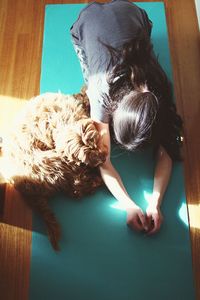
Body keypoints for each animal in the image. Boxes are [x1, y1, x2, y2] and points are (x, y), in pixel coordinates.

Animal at [0, 88, 107, 250]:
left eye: (96, 143)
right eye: (88, 156)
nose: (103, 158)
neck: (62, 121)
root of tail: (24, 187)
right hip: (53, 165)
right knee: (77, 188)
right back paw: (95, 181)